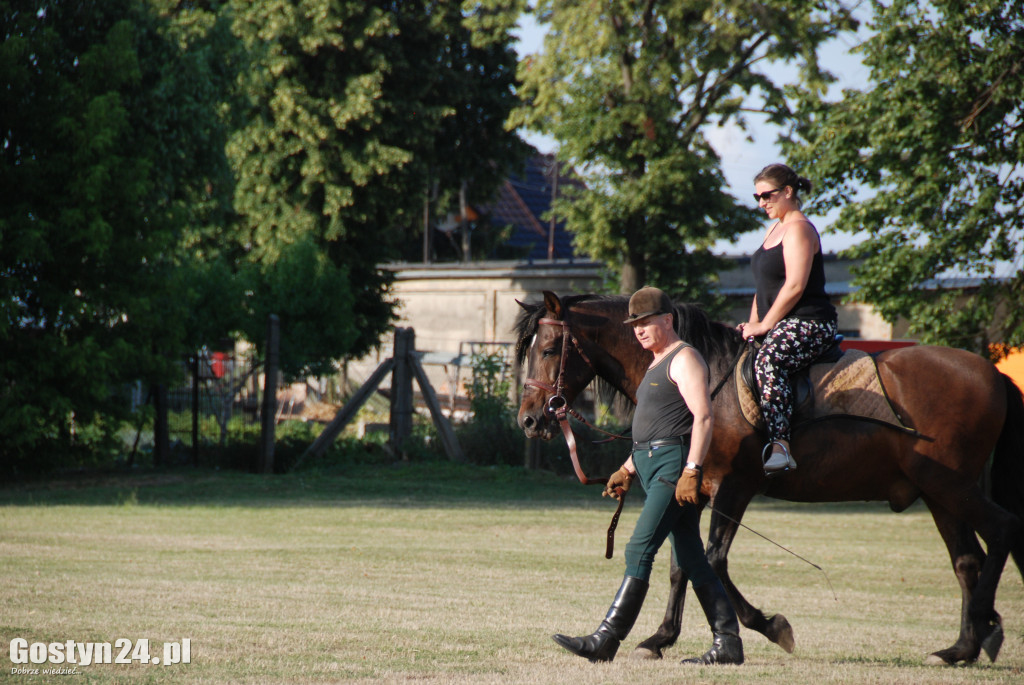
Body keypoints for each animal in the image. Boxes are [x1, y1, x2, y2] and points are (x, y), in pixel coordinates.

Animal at [520, 290, 1024, 663]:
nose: (528, 419)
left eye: (548, 349)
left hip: (949, 486)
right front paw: (659, 638)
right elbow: (683, 563)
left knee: (1002, 530)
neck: (709, 379)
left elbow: (713, 560)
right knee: (968, 561)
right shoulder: (692, 491)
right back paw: (961, 647)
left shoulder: (733, 487)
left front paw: (768, 626)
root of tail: (992, 372)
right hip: (940, 494)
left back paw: (983, 631)